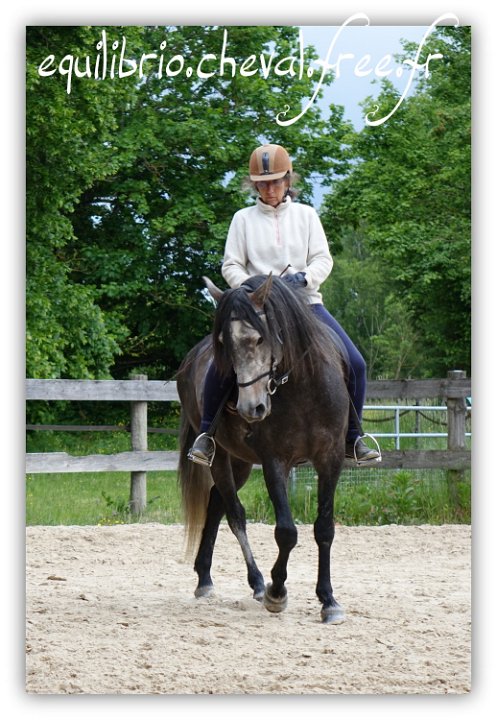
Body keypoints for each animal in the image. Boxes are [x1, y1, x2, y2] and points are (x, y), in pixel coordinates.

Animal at [176, 272, 346, 620]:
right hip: (219, 456)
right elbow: (286, 531)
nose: (250, 408)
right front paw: (276, 592)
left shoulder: (331, 459)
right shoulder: (274, 462)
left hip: (240, 461)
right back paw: (255, 582)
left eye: (259, 339)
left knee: (216, 502)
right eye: (224, 344)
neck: (302, 387)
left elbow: (324, 529)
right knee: (234, 513)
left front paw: (328, 600)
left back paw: (205, 578)